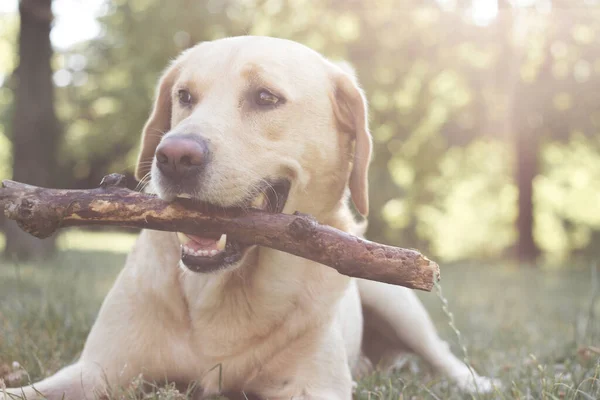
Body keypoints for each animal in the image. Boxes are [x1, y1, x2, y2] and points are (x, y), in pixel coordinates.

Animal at [1, 36, 496, 398]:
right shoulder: (97, 370)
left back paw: (478, 382)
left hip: (393, 297)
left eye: (265, 97)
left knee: (442, 352)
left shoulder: (314, 387)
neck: (224, 293)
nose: (174, 156)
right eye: (184, 96)